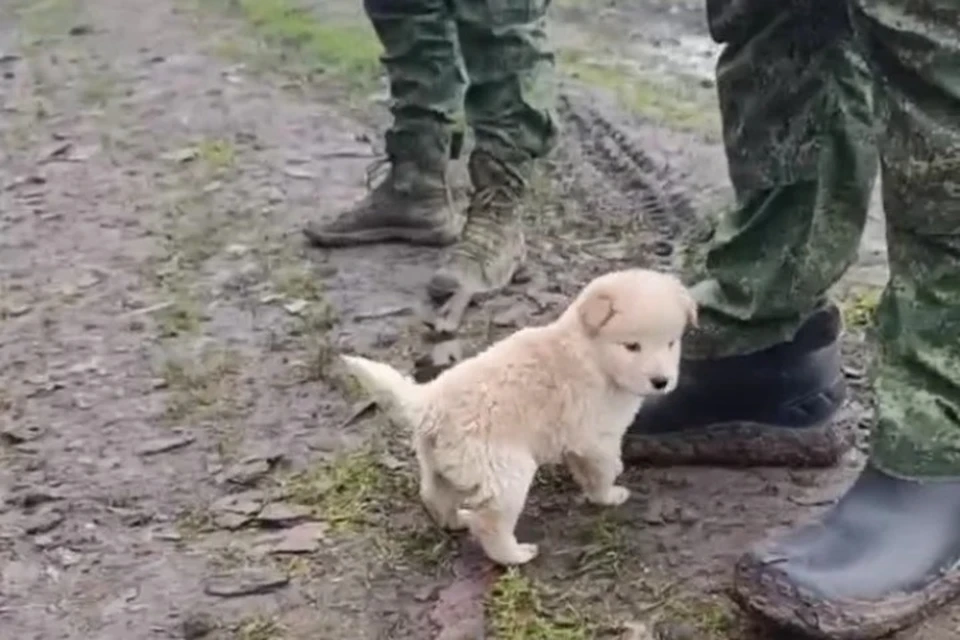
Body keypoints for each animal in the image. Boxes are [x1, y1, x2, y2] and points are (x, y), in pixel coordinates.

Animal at [340, 268, 697, 566]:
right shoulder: (596, 438)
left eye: (671, 342)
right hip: (506, 473)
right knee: (490, 523)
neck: (592, 353)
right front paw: (609, 496)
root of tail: (429, 404)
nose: (661, 382)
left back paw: (456, 521)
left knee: (436, 496)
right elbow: (603, 470)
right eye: (632, 346)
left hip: (443, 467)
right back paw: (515, 555)